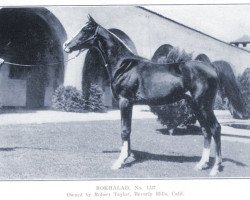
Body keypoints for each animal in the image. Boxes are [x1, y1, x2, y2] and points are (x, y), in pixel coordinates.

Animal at [63, 15, 246, 176]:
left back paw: (215, 168)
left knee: (216, 128)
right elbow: (128, 130)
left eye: (85, 30)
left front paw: (119, 162)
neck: (124, 64)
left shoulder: (125, 101)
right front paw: (127, 156)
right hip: (195, 106)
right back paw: (201, 164)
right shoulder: (129, 104)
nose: (66, 45)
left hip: (204, 105)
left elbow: (124, 130)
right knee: (206, 130)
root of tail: (211, 66)